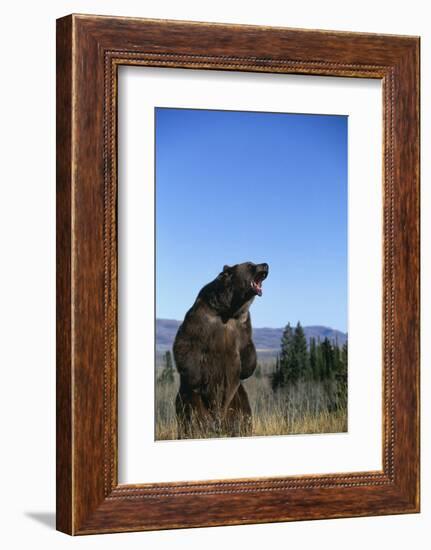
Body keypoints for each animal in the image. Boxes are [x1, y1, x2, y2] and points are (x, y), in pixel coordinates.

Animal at [173, 264, 268, 440]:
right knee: (193, 419)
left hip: (236, 399)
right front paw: (196, 376)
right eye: (251, 265)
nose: (266, 264)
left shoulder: (242, 324)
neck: (228, 310)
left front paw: (246, 369)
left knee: (243, 415)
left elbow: (247, 348)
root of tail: (218, 419)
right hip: (195, 402)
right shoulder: (201, 317)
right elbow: (186, 342)